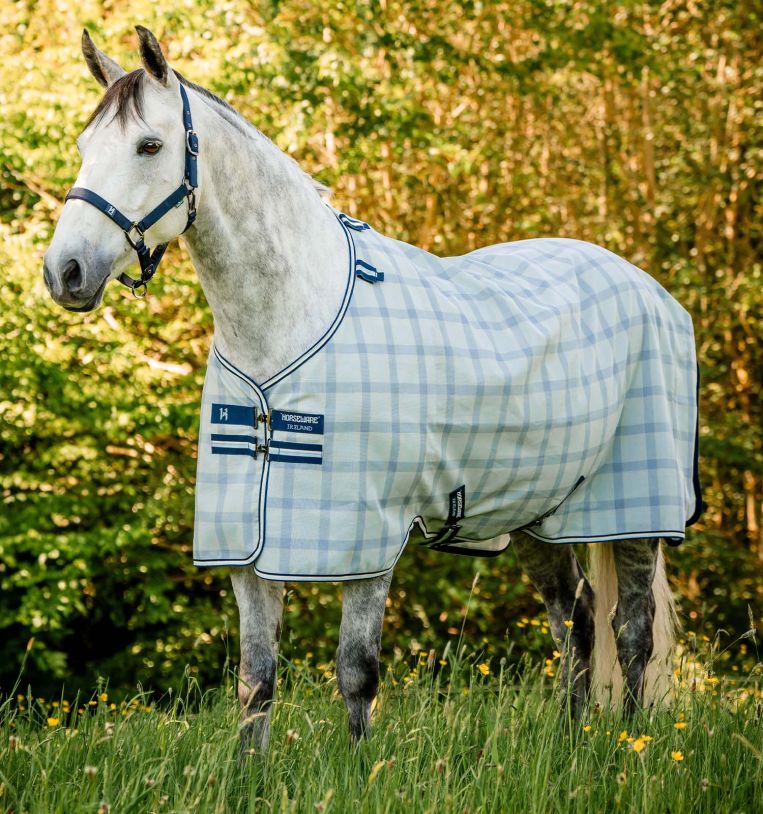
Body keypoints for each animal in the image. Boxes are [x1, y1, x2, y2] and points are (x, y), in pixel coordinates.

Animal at [44, 27, 701, 750]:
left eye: (149, 146)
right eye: (85, 146)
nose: (64, 271)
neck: (287, 323)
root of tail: (648, 288)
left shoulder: (365, 541)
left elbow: (356, 674)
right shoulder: (247, 550)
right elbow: (256, 682)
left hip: (634, 512)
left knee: (631, 632)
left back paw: (629, 747)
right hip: (536, 507)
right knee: (575, 618)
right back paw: (568, 741)